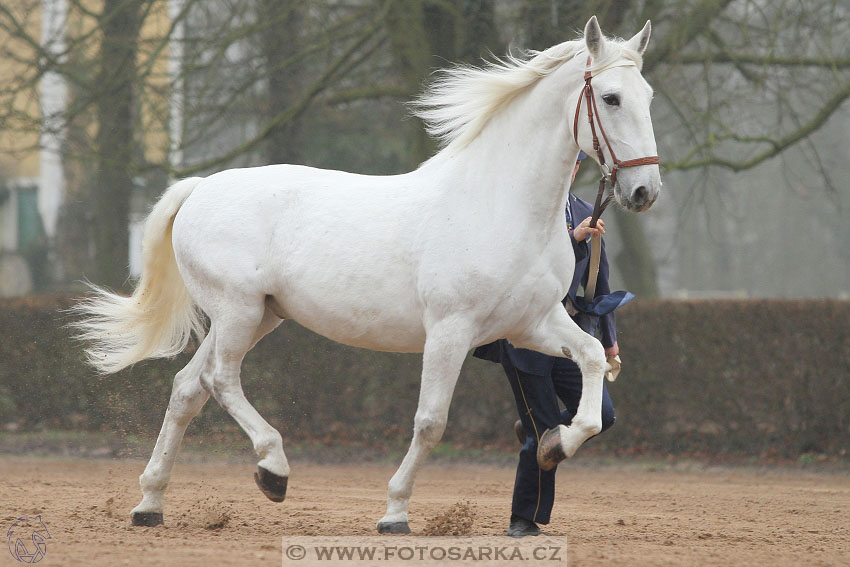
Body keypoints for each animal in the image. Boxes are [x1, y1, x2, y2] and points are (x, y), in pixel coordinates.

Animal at [73, 16, 660, 532]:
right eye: (611, 98)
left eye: (649, 96)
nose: (644, 192)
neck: (503, 205)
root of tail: (200, 187)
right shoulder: (451, 331)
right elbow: (430, 422)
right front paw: (394, 513)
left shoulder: (530, 325)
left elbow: (592, 363)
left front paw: (555, 445)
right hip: (237, 311)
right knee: (220, 380)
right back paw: (273, 470)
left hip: (257, 316)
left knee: (187, 388)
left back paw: (150, 505)